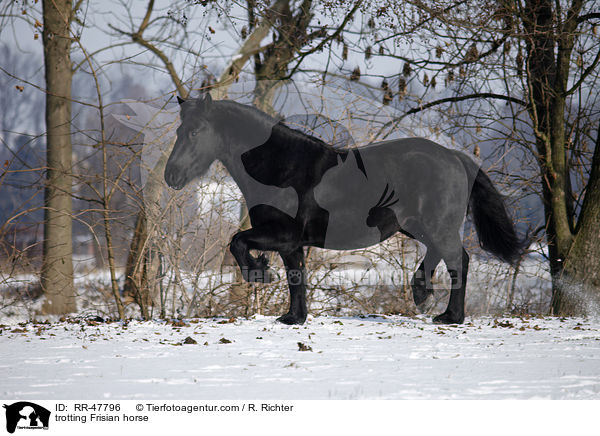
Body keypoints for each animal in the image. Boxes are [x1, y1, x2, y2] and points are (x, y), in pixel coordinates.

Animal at [164, 94, 524, 324]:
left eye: (195, 131)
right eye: (179, 130)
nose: (171, 176)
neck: (281, 168)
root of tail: (454, 156)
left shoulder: (281, 234)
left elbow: (237, 242)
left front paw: (260, 272)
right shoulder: (291, 244)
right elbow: (296, 277)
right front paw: (293, 318)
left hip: (437, 225)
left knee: (458, 260)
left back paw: (450, 316)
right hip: (417, 226)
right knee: (441, 254)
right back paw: (422, 293)